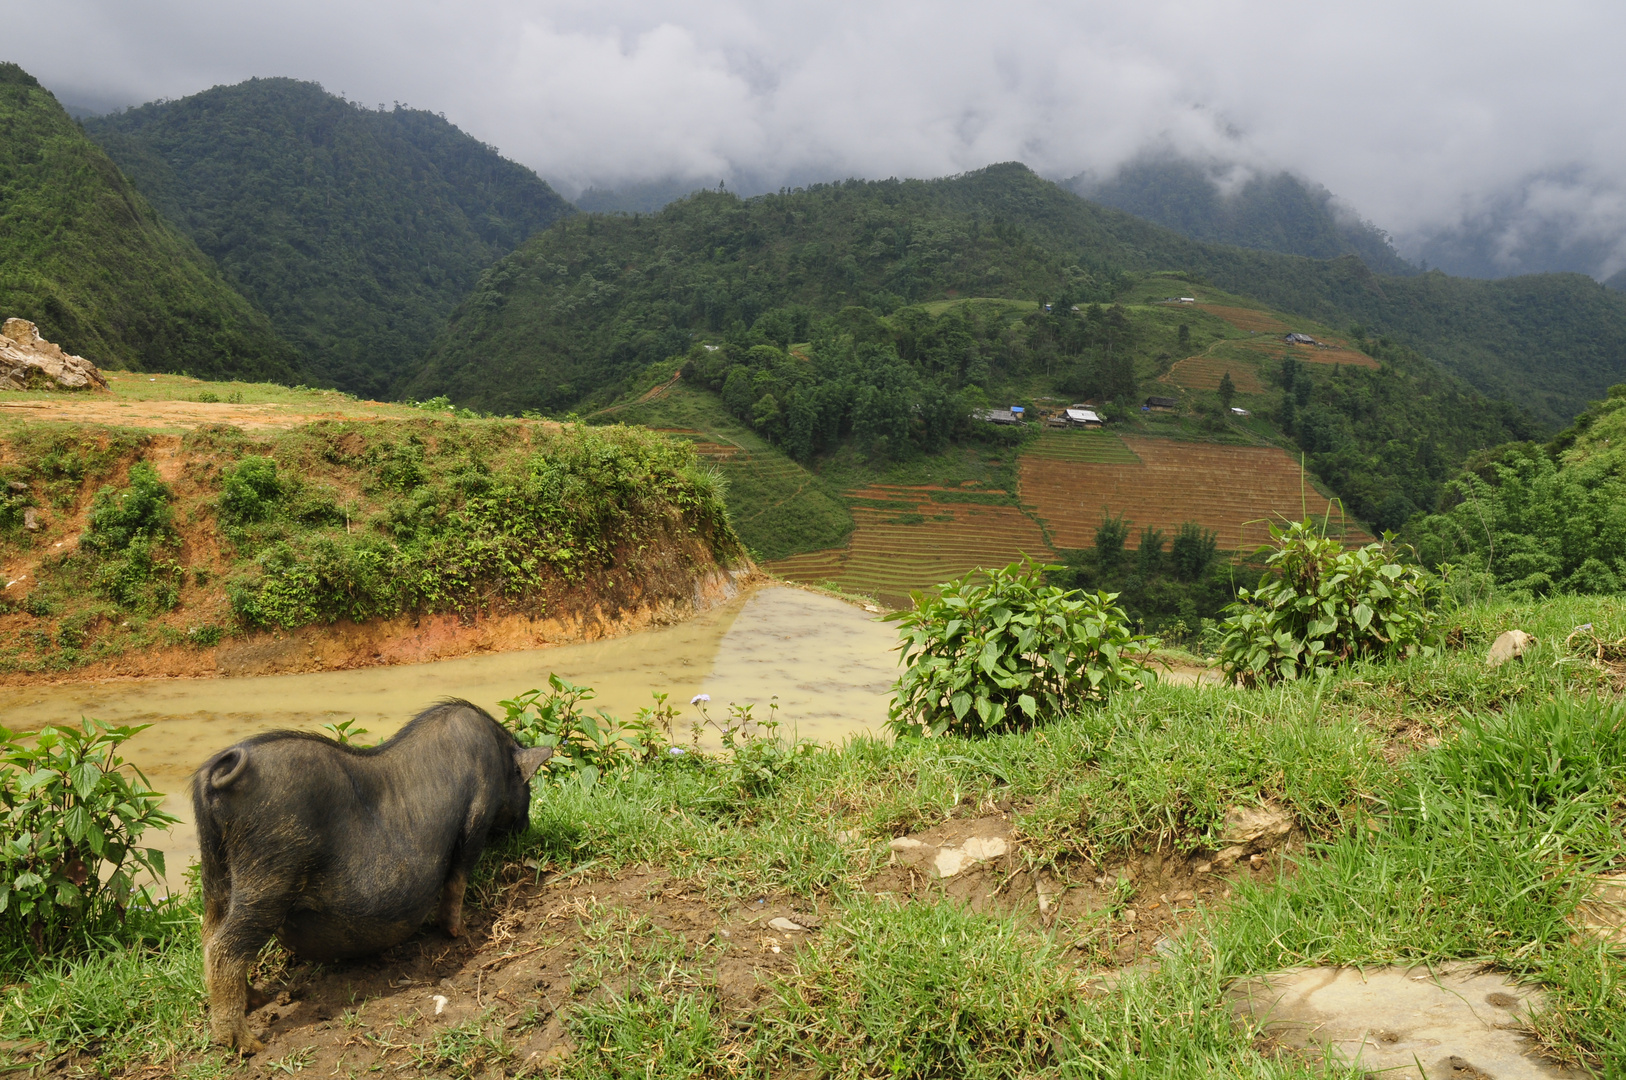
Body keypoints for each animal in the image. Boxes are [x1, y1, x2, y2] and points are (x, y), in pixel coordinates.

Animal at [191, 696, 552, 1047]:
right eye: (528, 787)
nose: (526, 828)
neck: (499, 757)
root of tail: (222, 772)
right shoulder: (477, 815)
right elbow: (457, 878)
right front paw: (457, 933)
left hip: (215, 871)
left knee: (209, 934)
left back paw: (258, 1000)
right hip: (270, 872)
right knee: (224, 948)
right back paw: (246, 1044)